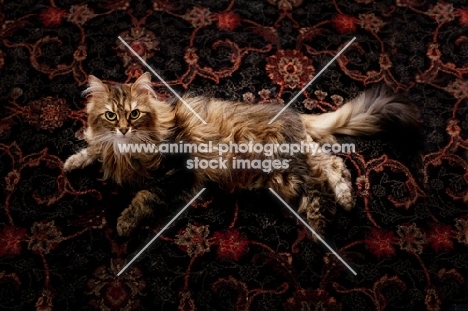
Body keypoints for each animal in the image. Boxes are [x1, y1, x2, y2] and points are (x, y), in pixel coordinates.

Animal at [63, 73, 420, 238]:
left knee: (321, 181)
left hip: (282, 166)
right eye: (111, 116)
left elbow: (144, 195)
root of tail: (293, 115)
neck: (124, 151)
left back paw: (322, 223)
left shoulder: (175, 169)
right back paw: (346, 198)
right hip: (292, 165)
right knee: (334, 163)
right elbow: (93, 148)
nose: (124, 129)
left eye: (134, 114)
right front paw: (72, 162)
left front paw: (124, 222)